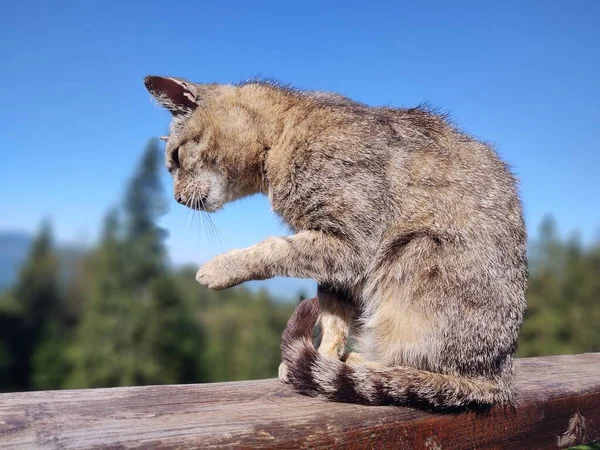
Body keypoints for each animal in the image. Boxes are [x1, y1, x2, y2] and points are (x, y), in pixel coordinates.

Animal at [144, 76, 524, 408]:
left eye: (175, 158)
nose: (177, 199)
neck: (280, 138)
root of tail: (502, 377)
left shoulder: (350, 243)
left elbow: (275, 248)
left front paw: (221, 267)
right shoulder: (333, 260)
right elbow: (332, 314)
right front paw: (325, 357)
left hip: (412, 254)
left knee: (430, 370)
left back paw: (364, 363)